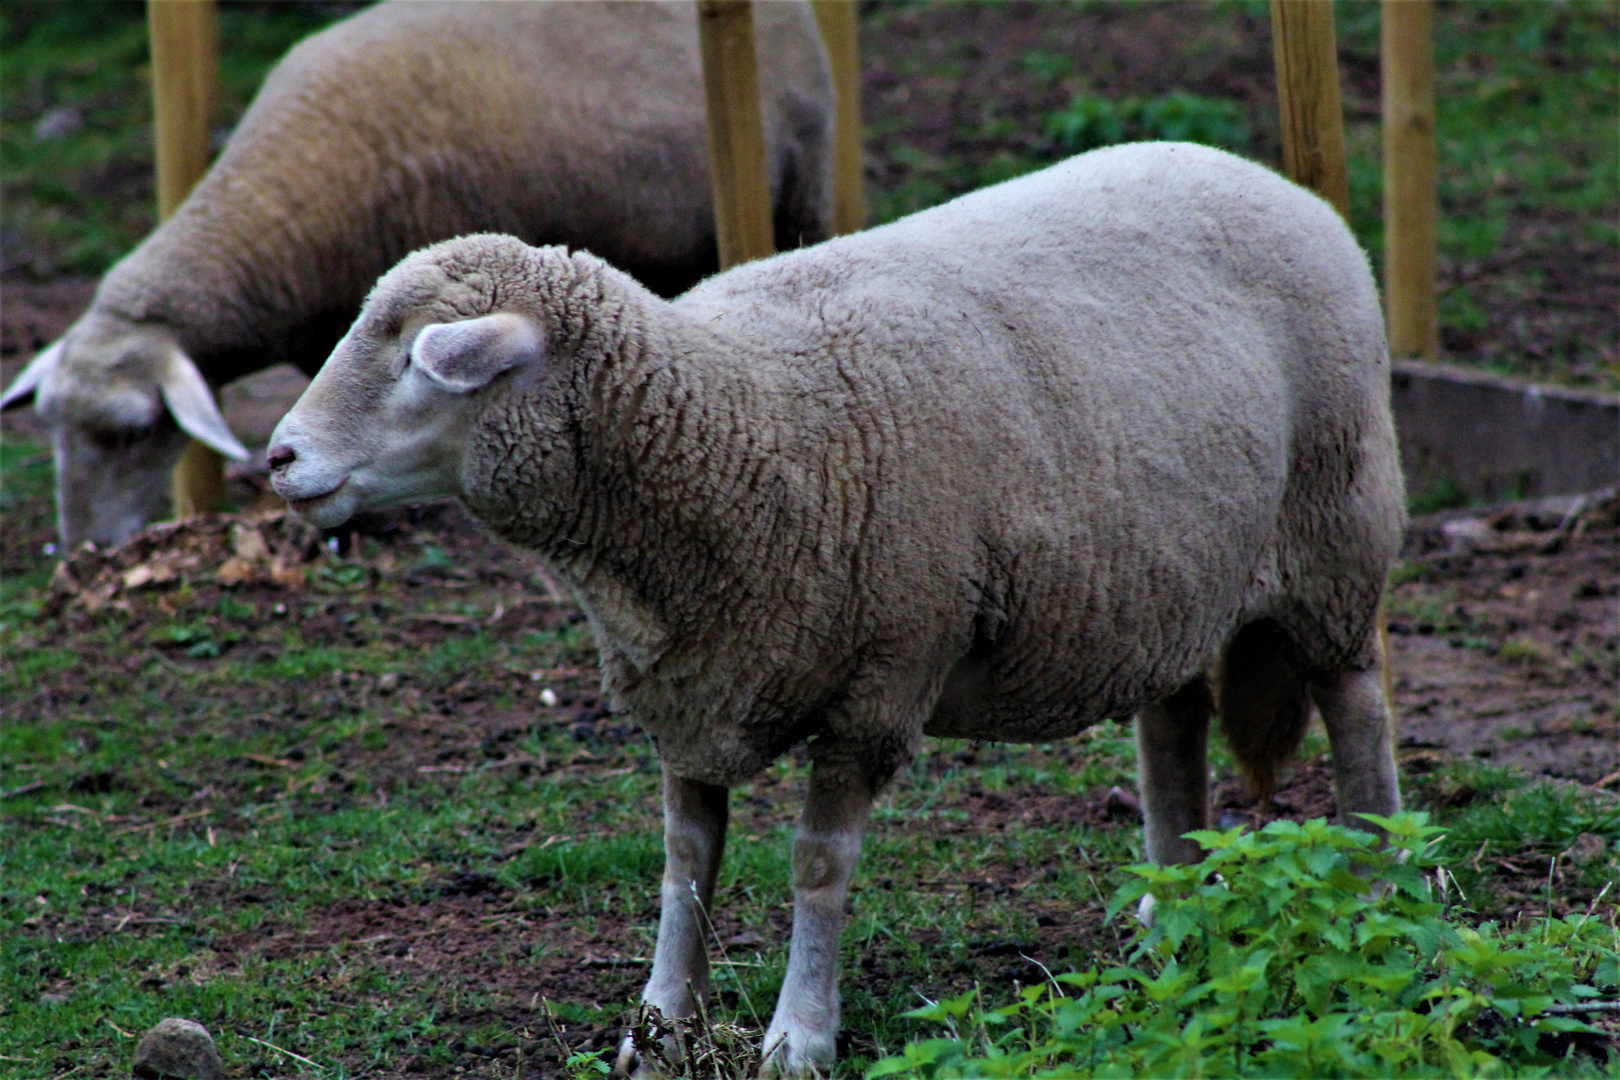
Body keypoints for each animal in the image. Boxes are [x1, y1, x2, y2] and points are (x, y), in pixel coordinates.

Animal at [262, 141, 1406, 1075]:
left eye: (419, 358)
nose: (277, 457)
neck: (732, 417)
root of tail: (1267, 177)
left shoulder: (878, 684)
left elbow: (818, 868)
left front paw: (797, 1035)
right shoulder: (698, 680)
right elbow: (685, 862)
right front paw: (660, 1026)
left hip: (1337, 527)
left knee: (1358, 707)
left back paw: (1383, 889)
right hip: (1166, 577)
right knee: (1171, 732)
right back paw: (1172, 915)